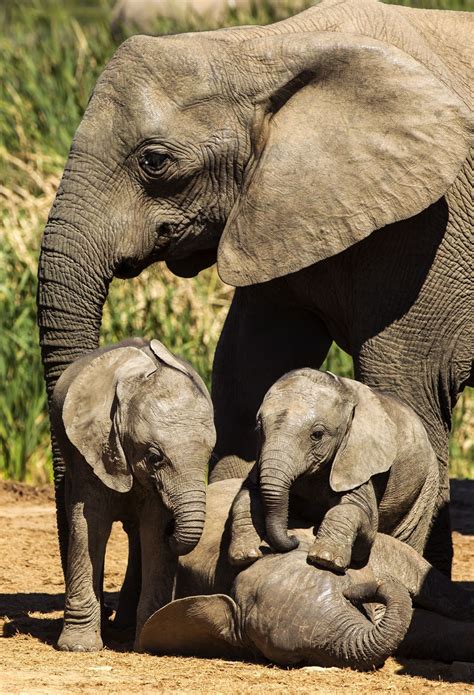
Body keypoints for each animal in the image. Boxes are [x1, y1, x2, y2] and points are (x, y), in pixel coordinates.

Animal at [50, 337, 216, 651]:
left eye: (210, 454)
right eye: (154, 457)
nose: (173, 528)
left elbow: (153, 532)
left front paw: (150, 639)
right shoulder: (89, 452)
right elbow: (89, 525)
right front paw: (78, 647)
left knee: (137, 533)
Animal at [229, 368, 439, 573]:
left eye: (317, 435)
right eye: (259, 429)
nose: (293, 538)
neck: (344, 389)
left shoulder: (358, 460)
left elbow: (358, 512)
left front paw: (325, 560)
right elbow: (246, 496)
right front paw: (244, 555)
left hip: (427, 482)